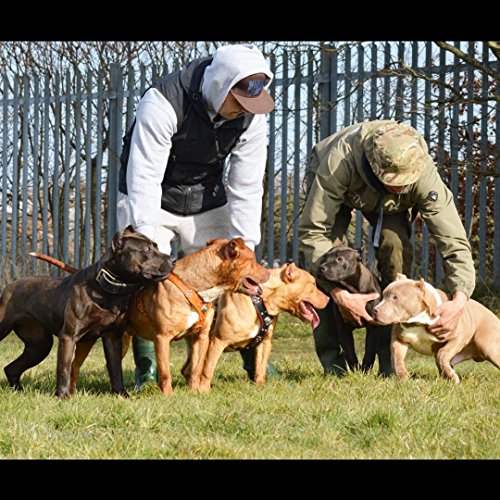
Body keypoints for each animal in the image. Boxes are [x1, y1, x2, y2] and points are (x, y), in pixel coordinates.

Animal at [0, 226, 176, 398]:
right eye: (147, 249)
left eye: (156, 247)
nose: (173, 260)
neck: (106, 289)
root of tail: (10, 285)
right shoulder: (68, 337)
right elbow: (64, 369)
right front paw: (62, 396)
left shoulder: (113, 338)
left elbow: (115, 369)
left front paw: (121, 393)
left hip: (39, 346)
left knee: (11, 368)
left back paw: (19, 391)